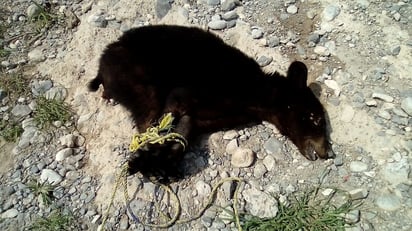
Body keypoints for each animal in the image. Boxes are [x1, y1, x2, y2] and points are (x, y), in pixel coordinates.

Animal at [87, 23, 334, 182]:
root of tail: (101, 65)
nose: (328, 153)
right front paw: (146, 161)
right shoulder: (185, 93)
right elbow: (163, 126)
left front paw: (166, 164)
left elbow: (183, 133)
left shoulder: (204, 116)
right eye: (315, 118)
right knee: (148, 113)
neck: (257, 94)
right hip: (136, 75)